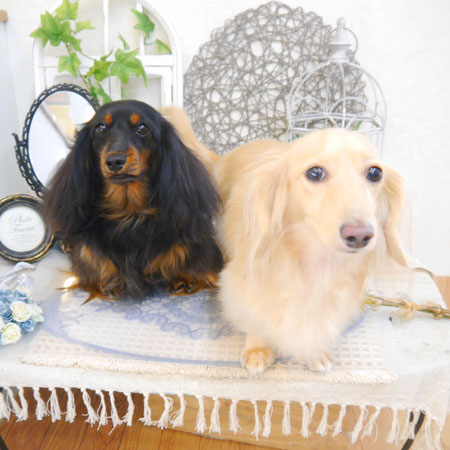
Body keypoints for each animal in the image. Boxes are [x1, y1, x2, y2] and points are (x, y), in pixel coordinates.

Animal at [42, 100, 223, 300]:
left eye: (143, 128)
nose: (114, 161)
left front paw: (183, 277)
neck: (129, 212)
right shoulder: (88, 256)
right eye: (100, 128)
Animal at [211, 128, 408, 373]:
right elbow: (254, 315)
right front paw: (258, 348)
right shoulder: (242, 283)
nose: (360, 235)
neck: (316, 261)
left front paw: (314, 353)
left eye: (374, 173)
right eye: (315, 172)